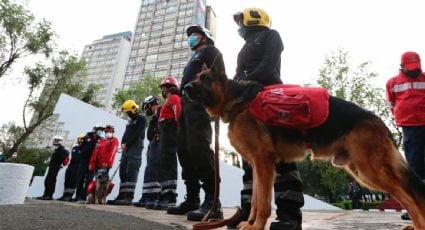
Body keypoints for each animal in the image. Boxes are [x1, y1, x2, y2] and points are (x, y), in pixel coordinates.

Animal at [184, 53, 424, 229]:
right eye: (196, 77)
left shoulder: (263, 163)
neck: (237, 100)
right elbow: (255, 201)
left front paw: (256, 226)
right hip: (361, 171)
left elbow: (262, 203)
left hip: (370, 169)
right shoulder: (258, 166)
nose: (185, 87)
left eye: (205, 79)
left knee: (409, 197)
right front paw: (249, 225)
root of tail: (378, 119)